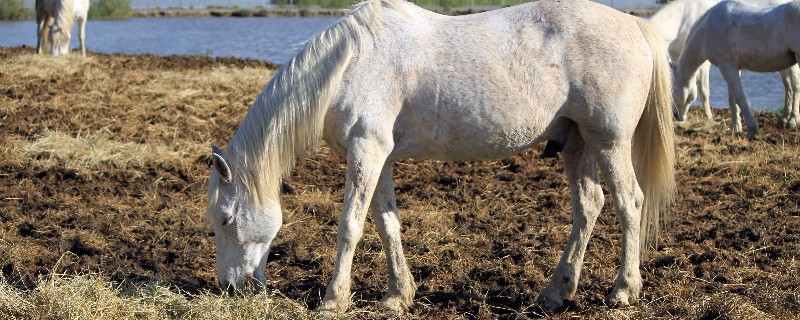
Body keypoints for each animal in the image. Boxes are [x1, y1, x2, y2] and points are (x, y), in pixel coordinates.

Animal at [206, 0, 676, 312]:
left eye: (225, 220)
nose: (229, 288)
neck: (349, 65)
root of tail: (634, 25)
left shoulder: (366, 150)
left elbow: (350, 227)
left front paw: (333, 299)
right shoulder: (380, 158)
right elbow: (386, 224)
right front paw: (398, 296)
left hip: (609, 141)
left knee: (629, 203)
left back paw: (622, 291)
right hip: (577, 142)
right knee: (589, 207)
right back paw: (556, 292)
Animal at [652, 0, 796, 127]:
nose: (676, 116)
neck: (684, 19)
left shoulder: (705, 64)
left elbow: (704, 90)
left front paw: (708, 116)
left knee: (793, 86)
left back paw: (791, 120)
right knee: (789, 86)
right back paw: (784, 118)